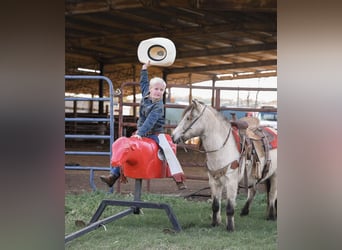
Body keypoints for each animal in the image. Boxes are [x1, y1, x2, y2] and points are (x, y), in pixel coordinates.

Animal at [171, 98, 278, 231]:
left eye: (189, 118)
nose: (173, 136)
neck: (222, 148)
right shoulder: (214, 181)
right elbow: (215, 205)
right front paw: (215, 223)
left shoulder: (231, 181)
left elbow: (230, 207)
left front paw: (230, 228)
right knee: (253, 191)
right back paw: (245, 211)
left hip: (275, 175)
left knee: (272, 194)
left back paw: (271, 215)